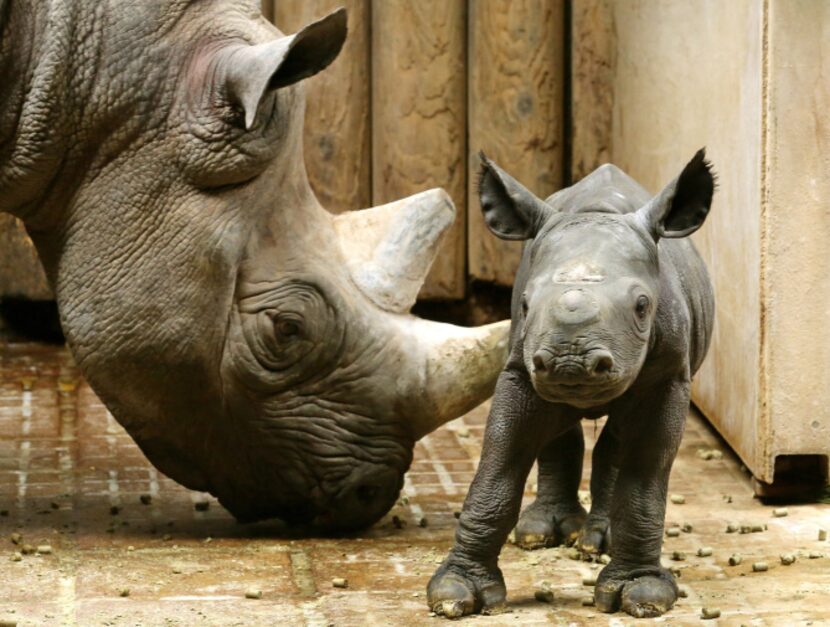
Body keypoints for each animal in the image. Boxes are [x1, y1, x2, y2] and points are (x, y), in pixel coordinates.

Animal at [428, 151, 716, 620]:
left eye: (642, 306)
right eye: (525, 304)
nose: (570, 363)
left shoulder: (670, 375)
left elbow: (646, 473)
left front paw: (644, 596)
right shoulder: (521, 368)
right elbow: (498, 464)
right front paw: (454, 592)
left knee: (619, 438)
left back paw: (598, 542)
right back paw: (542, 535)